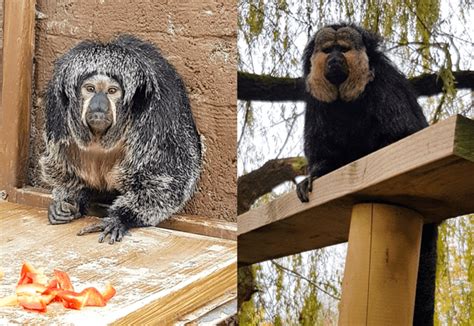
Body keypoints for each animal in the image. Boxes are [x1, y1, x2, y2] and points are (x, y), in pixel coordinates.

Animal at [40, 35, 202, 244]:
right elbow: (59, 164)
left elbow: (168, 180)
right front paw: (69, 200)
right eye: (90, 89)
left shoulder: (159, 113)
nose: (99, 105)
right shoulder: (56, 107)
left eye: (111, 91)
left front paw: (120, 218)